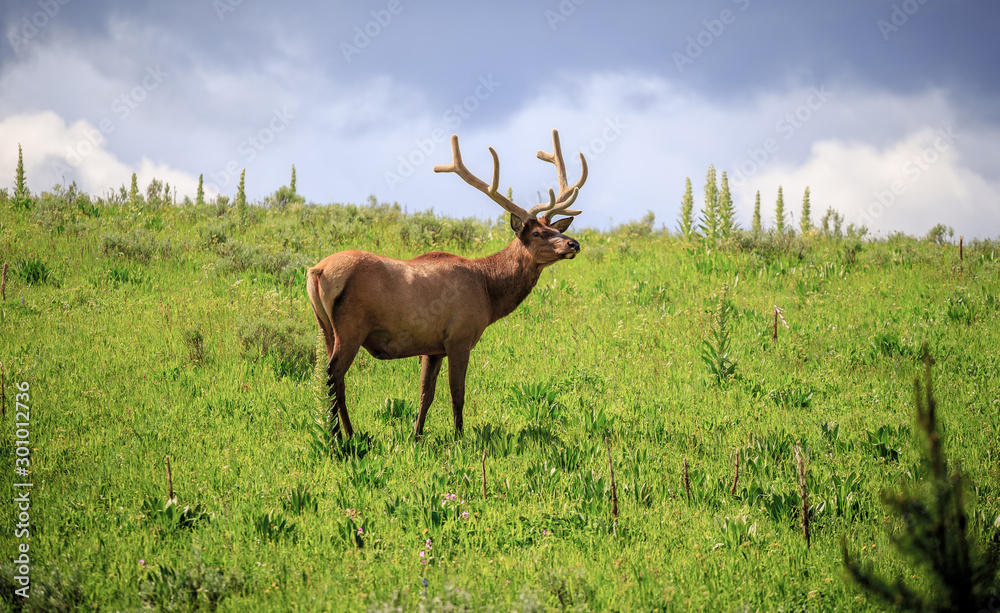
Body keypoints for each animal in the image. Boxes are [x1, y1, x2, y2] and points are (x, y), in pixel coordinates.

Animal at [306, 129, 587, 441]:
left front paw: (416, 436)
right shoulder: (460, 336)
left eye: (554, 228)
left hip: (325, 326)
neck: (488, 291)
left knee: (335, 378)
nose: (573, 243)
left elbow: (425, 395)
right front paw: (460, 437)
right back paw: (338, 438)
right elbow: (457, 394)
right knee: (333, 375)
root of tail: (318, 271)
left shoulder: (433, 346)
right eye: (537, 233)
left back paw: (346, 433)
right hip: (352, 325)